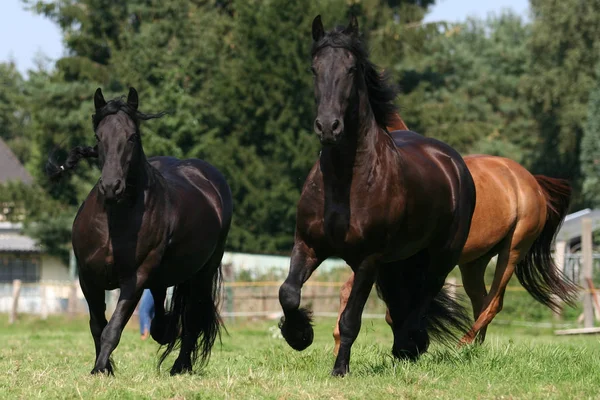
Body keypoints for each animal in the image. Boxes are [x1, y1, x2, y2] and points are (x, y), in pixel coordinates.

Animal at [47, 88, 233, 376]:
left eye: (132, 136)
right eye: (98, 137)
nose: (111, 187)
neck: (114, 221)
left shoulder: (134, 280)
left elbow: (112, 329)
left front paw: (100, 369)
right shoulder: (88, 278)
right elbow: (97, 326)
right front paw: (104, 369)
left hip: (203, 272)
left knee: (191, 318)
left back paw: (180, 366)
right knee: (163, 312)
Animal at [278, 15, 478, 376]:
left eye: (351, 68)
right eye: (314, 68)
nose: (328, 127)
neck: (345, 182)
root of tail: (452, 161)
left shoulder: (367, 260)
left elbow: (350, 319)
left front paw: (340, 369)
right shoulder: (308, 244)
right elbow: (288, 292)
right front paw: (299, 334)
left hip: (442, 254)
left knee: (425, 294)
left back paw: (409, 344)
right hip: (398, 260)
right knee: (404, 300)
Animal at [330, 115, 580, 354]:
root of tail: (531, 182)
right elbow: (350, 292)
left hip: (513, 251)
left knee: (493, 303)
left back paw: (462, 347)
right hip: (474, 263)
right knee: (480, 300)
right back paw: (474, 349)